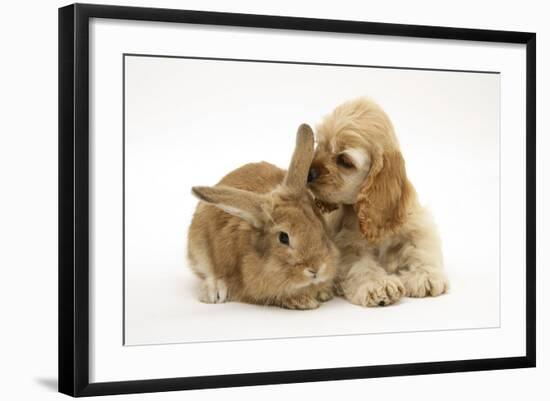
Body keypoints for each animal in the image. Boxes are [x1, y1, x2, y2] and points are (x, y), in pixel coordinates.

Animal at [188, 124, 338, 310]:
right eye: (283, 237)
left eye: (320, 226)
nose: (316, 269)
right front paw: (302, 301)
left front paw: (323, 292)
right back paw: (214, 291)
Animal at [308, 97, 450, 306]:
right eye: (320, 146)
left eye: (344, 161)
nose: (309, 173)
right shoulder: (349, 244)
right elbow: (361, 265)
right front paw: (378, 284)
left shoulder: (418, 223)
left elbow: (421, 248)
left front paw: (424, 276)